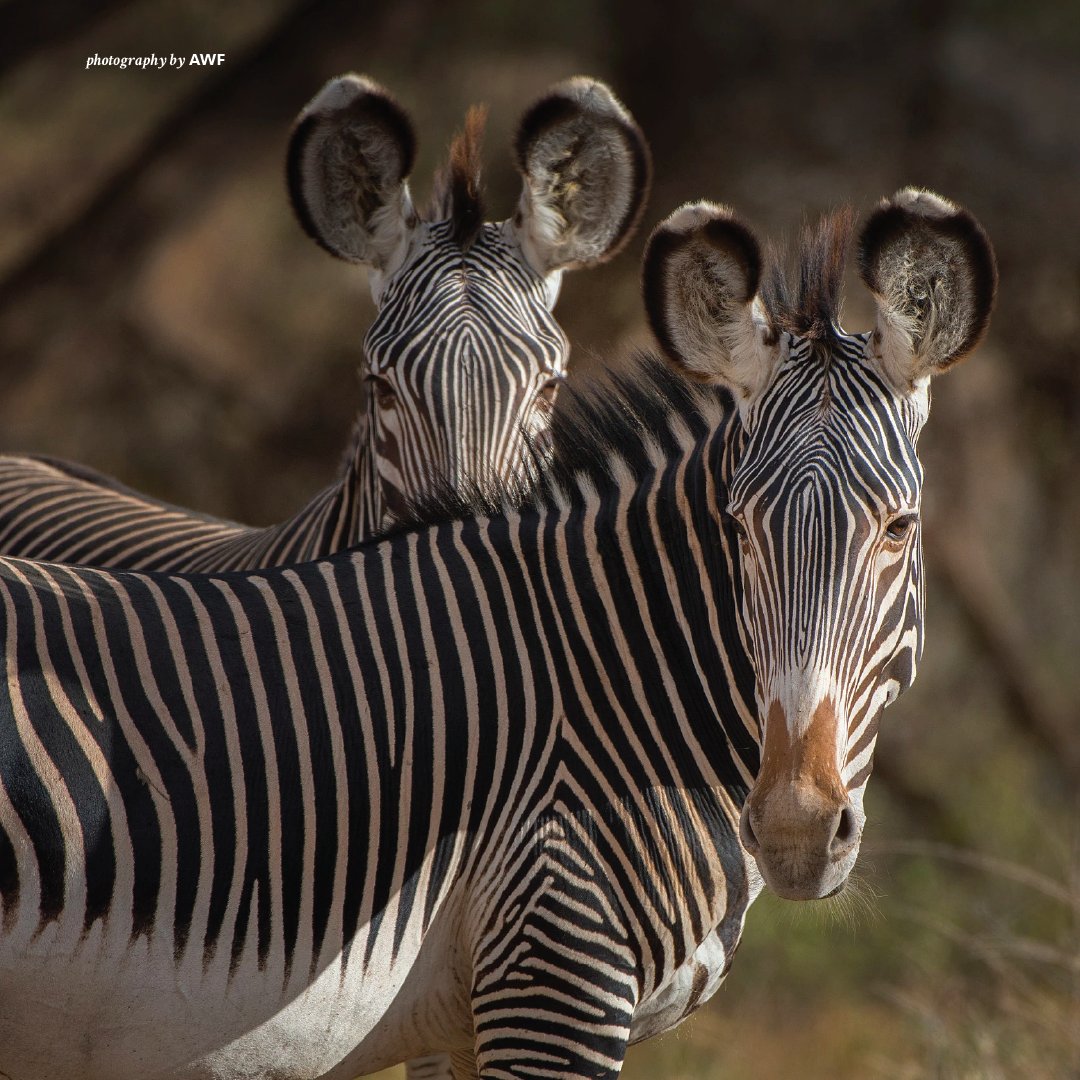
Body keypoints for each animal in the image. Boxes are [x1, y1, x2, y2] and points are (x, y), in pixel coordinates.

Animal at [0, 188, 996, 1079]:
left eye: (899, 528)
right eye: (740, 527)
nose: (793, 830)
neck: (610, 680)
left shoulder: (461, 1026)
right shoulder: (551, 974)